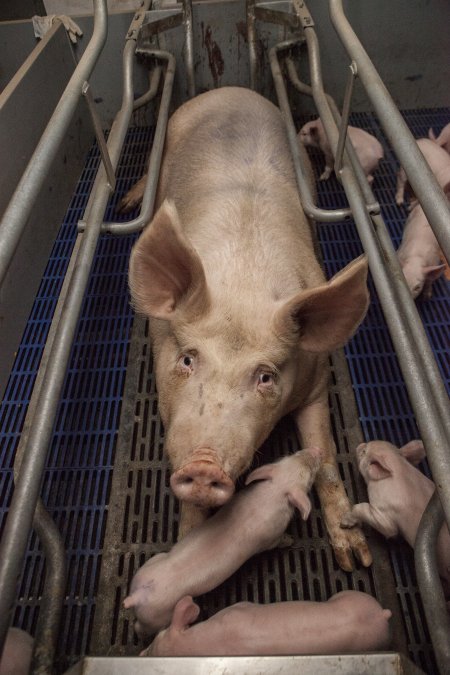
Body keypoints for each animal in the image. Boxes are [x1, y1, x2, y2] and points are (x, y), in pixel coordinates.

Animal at [125, 84, 370, 572]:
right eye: (187, 359)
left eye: (266, 376)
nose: (204, 467)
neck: (245, 283)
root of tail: (229, 89)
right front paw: (189, 546)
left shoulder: (317, 382)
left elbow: (326, 456)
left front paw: (355, 559)